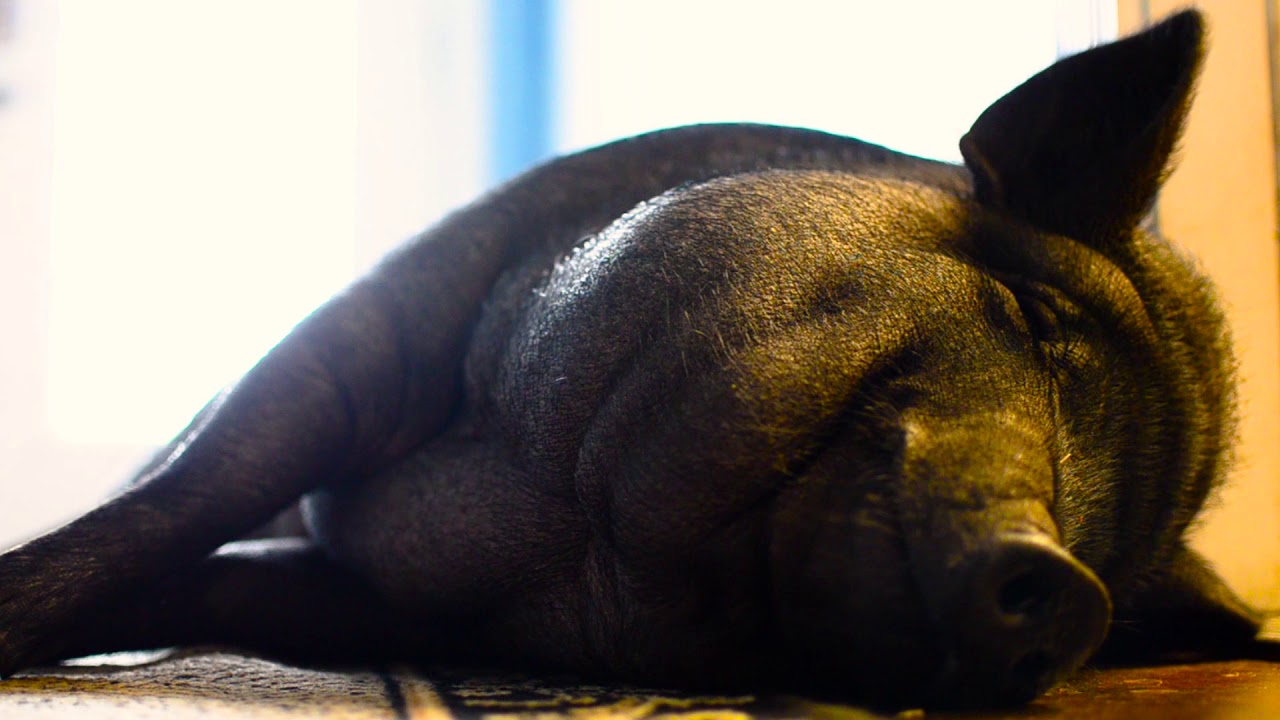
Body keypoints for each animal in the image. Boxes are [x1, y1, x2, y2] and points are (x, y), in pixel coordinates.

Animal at [0, 8, 1268, 709]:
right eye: (1030, 321)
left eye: (1114, 557)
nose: (1070, 589)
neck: (580, 531)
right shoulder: (371, 326)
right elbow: (187, 496)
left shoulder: (371, 605)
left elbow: (210, 576)